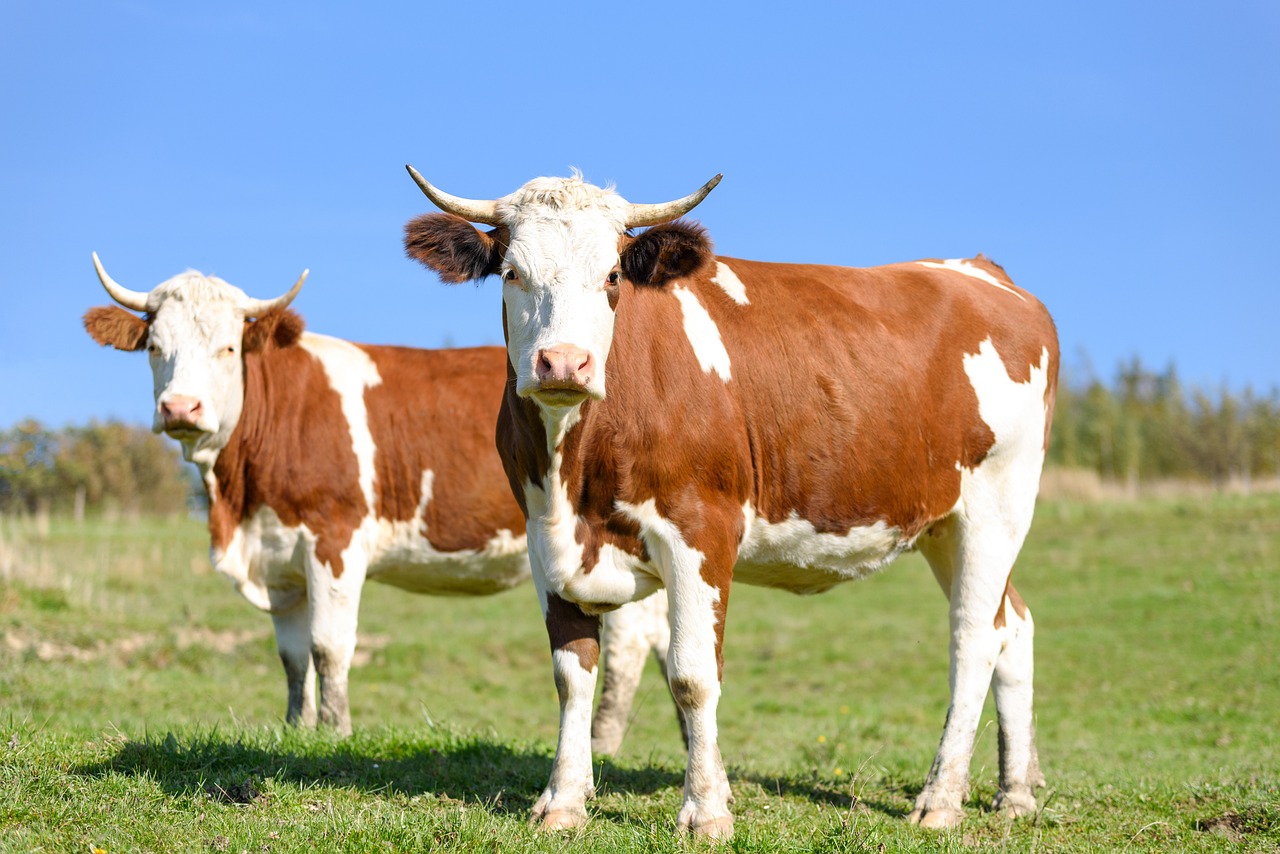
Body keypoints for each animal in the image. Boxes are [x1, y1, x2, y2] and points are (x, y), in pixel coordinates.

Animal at [81, 256, 680, 747]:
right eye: (154, 348)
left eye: (227, 348)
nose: (180, 408)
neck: (239, 501)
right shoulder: (279, 560)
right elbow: (292, 656)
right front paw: (295, 727)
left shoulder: (335, 540)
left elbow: (328, 646)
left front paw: (334, 732)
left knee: (628, 645)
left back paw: (604, 741)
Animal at [401, 169, 1059, 839]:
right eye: (512, 272)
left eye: (611, 276)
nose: (564, 362)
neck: (576, 471)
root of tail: (980, 270)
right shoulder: (544, 537)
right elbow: (572, 673)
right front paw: (563, 801)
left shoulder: (702, 528)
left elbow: (692, 675)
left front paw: (706, 810)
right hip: (942, 526)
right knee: (1013, 625)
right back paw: (1015, 792)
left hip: (997, 506)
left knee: (973, 639)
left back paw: (941, 799)